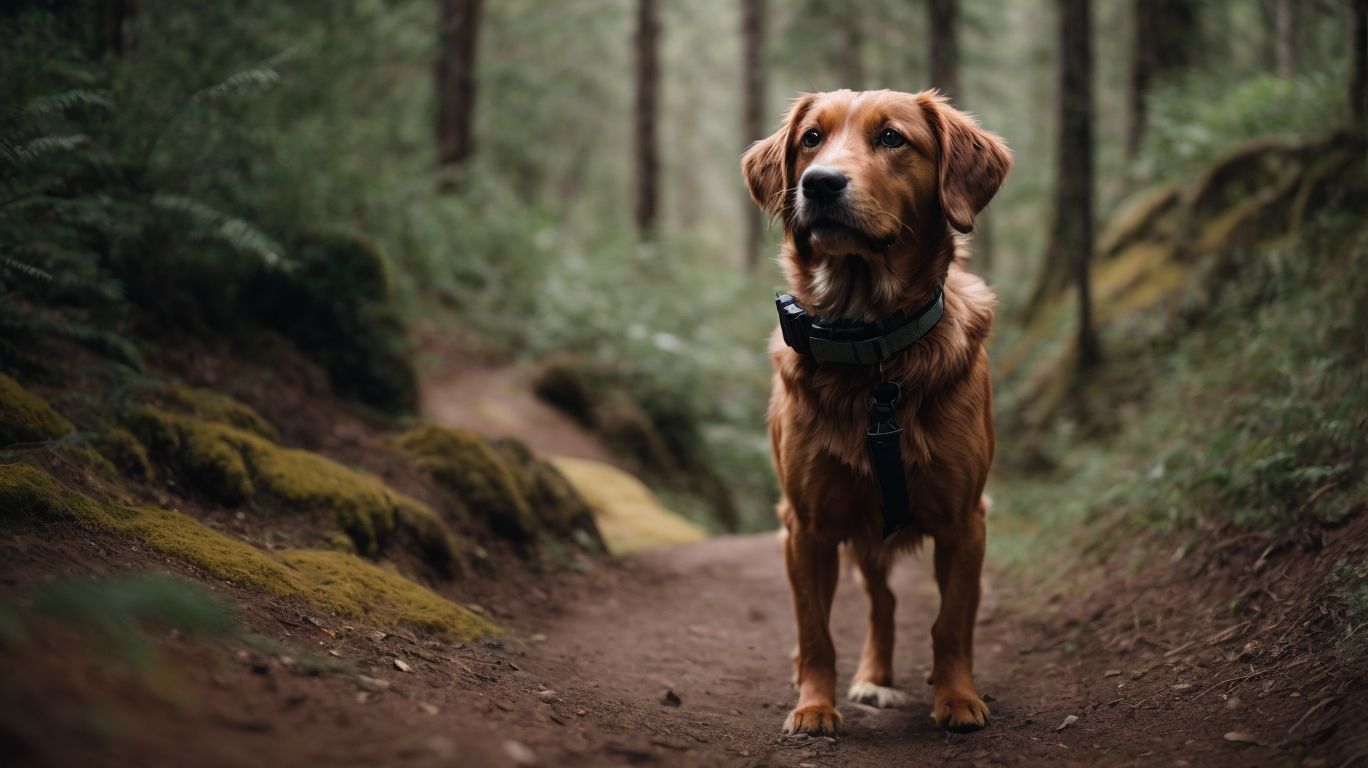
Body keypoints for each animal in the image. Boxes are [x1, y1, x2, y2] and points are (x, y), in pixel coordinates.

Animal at [744, 91, 1012, 739]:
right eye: (810, 139)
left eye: (892, 138)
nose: (819, 184)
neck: (872, 350)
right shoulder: (806, 527)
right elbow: (815, 629)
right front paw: (815, 705)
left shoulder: (966, 520)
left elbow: (951, 622)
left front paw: (957, 696)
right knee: (874, 605)